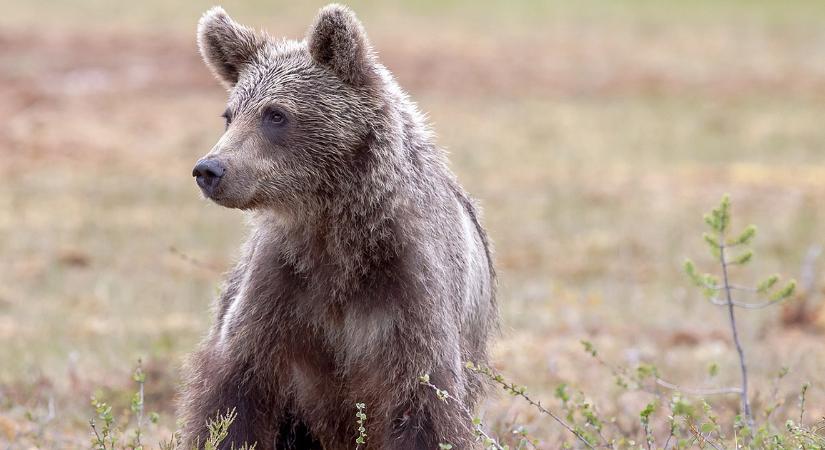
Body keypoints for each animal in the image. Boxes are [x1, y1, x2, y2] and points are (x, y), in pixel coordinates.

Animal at [179, 4, 496, 450]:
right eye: (229, 114)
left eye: (275, 114)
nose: (210, 170)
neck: (337, 234)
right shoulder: (279, 289)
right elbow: (234, 396)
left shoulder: (410, 292)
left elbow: (423, 406)